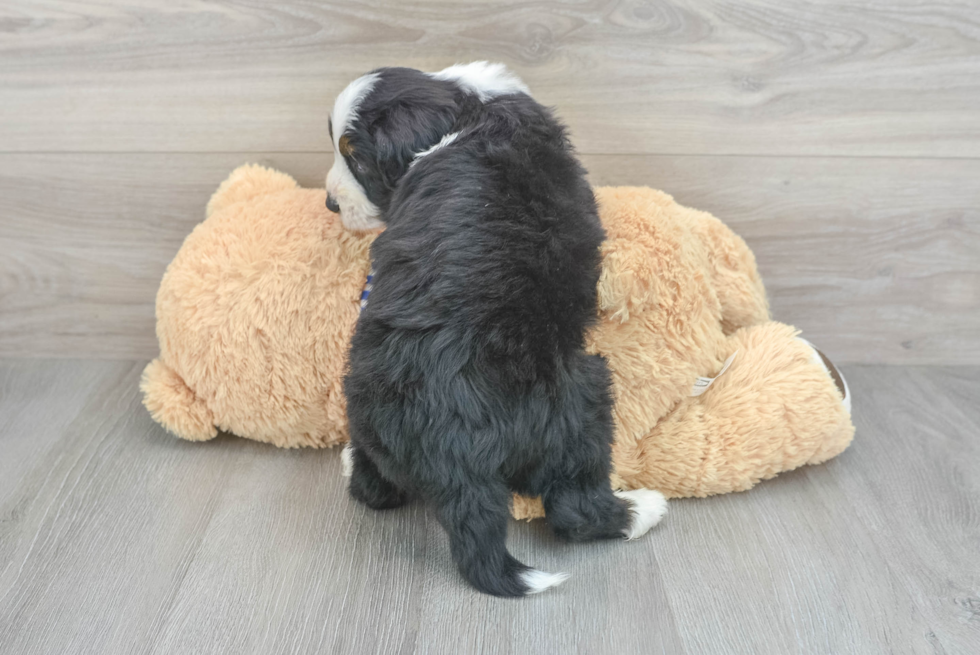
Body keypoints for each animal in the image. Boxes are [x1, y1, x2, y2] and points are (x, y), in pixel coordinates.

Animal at [330, 64, 668, 596]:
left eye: (357, 160)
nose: (329, 203)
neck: (469, 111)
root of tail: (451, 444)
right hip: (583, 396)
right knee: (574, 508)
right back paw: (643, 509)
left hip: (366, 402)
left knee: (375, 488)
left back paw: (351, 461)